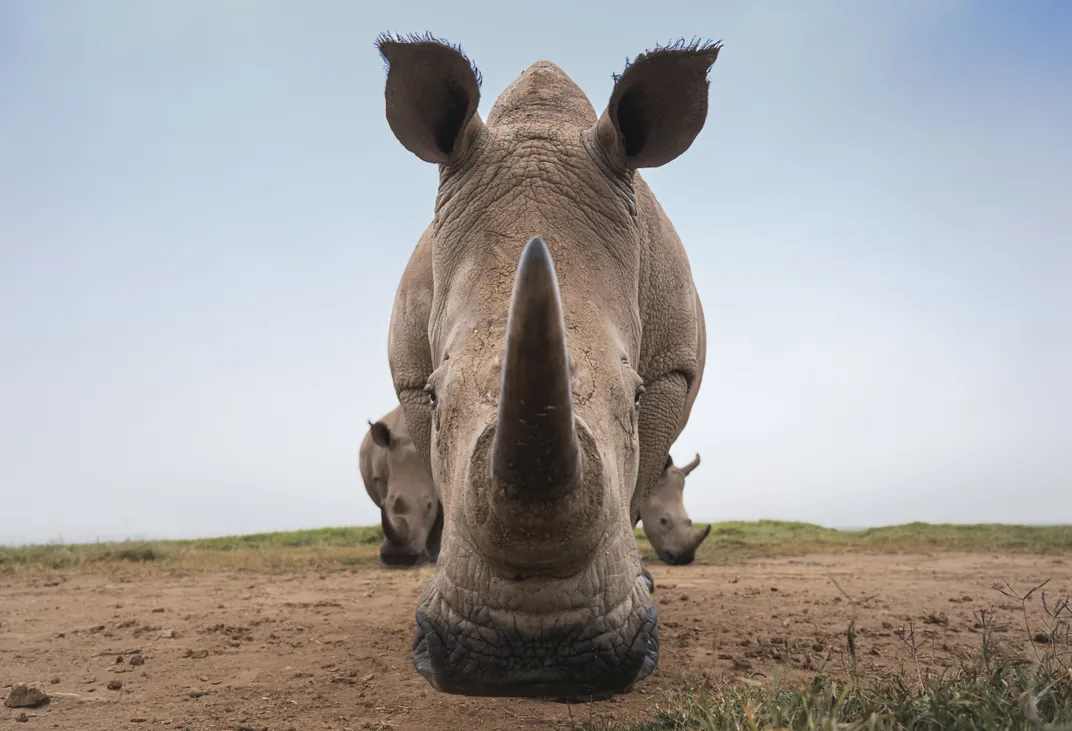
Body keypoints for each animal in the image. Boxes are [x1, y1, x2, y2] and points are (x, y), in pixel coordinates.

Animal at [378, 33, 719, 698]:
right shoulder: (406, 370)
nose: (531, 660)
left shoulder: (675, 369)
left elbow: (637, 475)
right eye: (433, 397)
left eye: (636, 396)